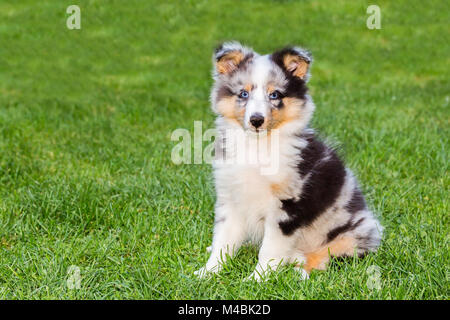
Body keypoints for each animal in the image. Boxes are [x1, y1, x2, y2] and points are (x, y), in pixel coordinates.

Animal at [194, 40, 384, 280]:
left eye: (275, 95)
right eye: (243, 94)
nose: (256, 120)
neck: (257, 147)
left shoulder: (287, 206)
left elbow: (270, 249)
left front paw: (256, 279)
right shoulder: (231, 198)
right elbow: (223, 241)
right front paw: (206, 273)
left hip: (350, 236)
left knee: (326, 259)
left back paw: (299, 270)